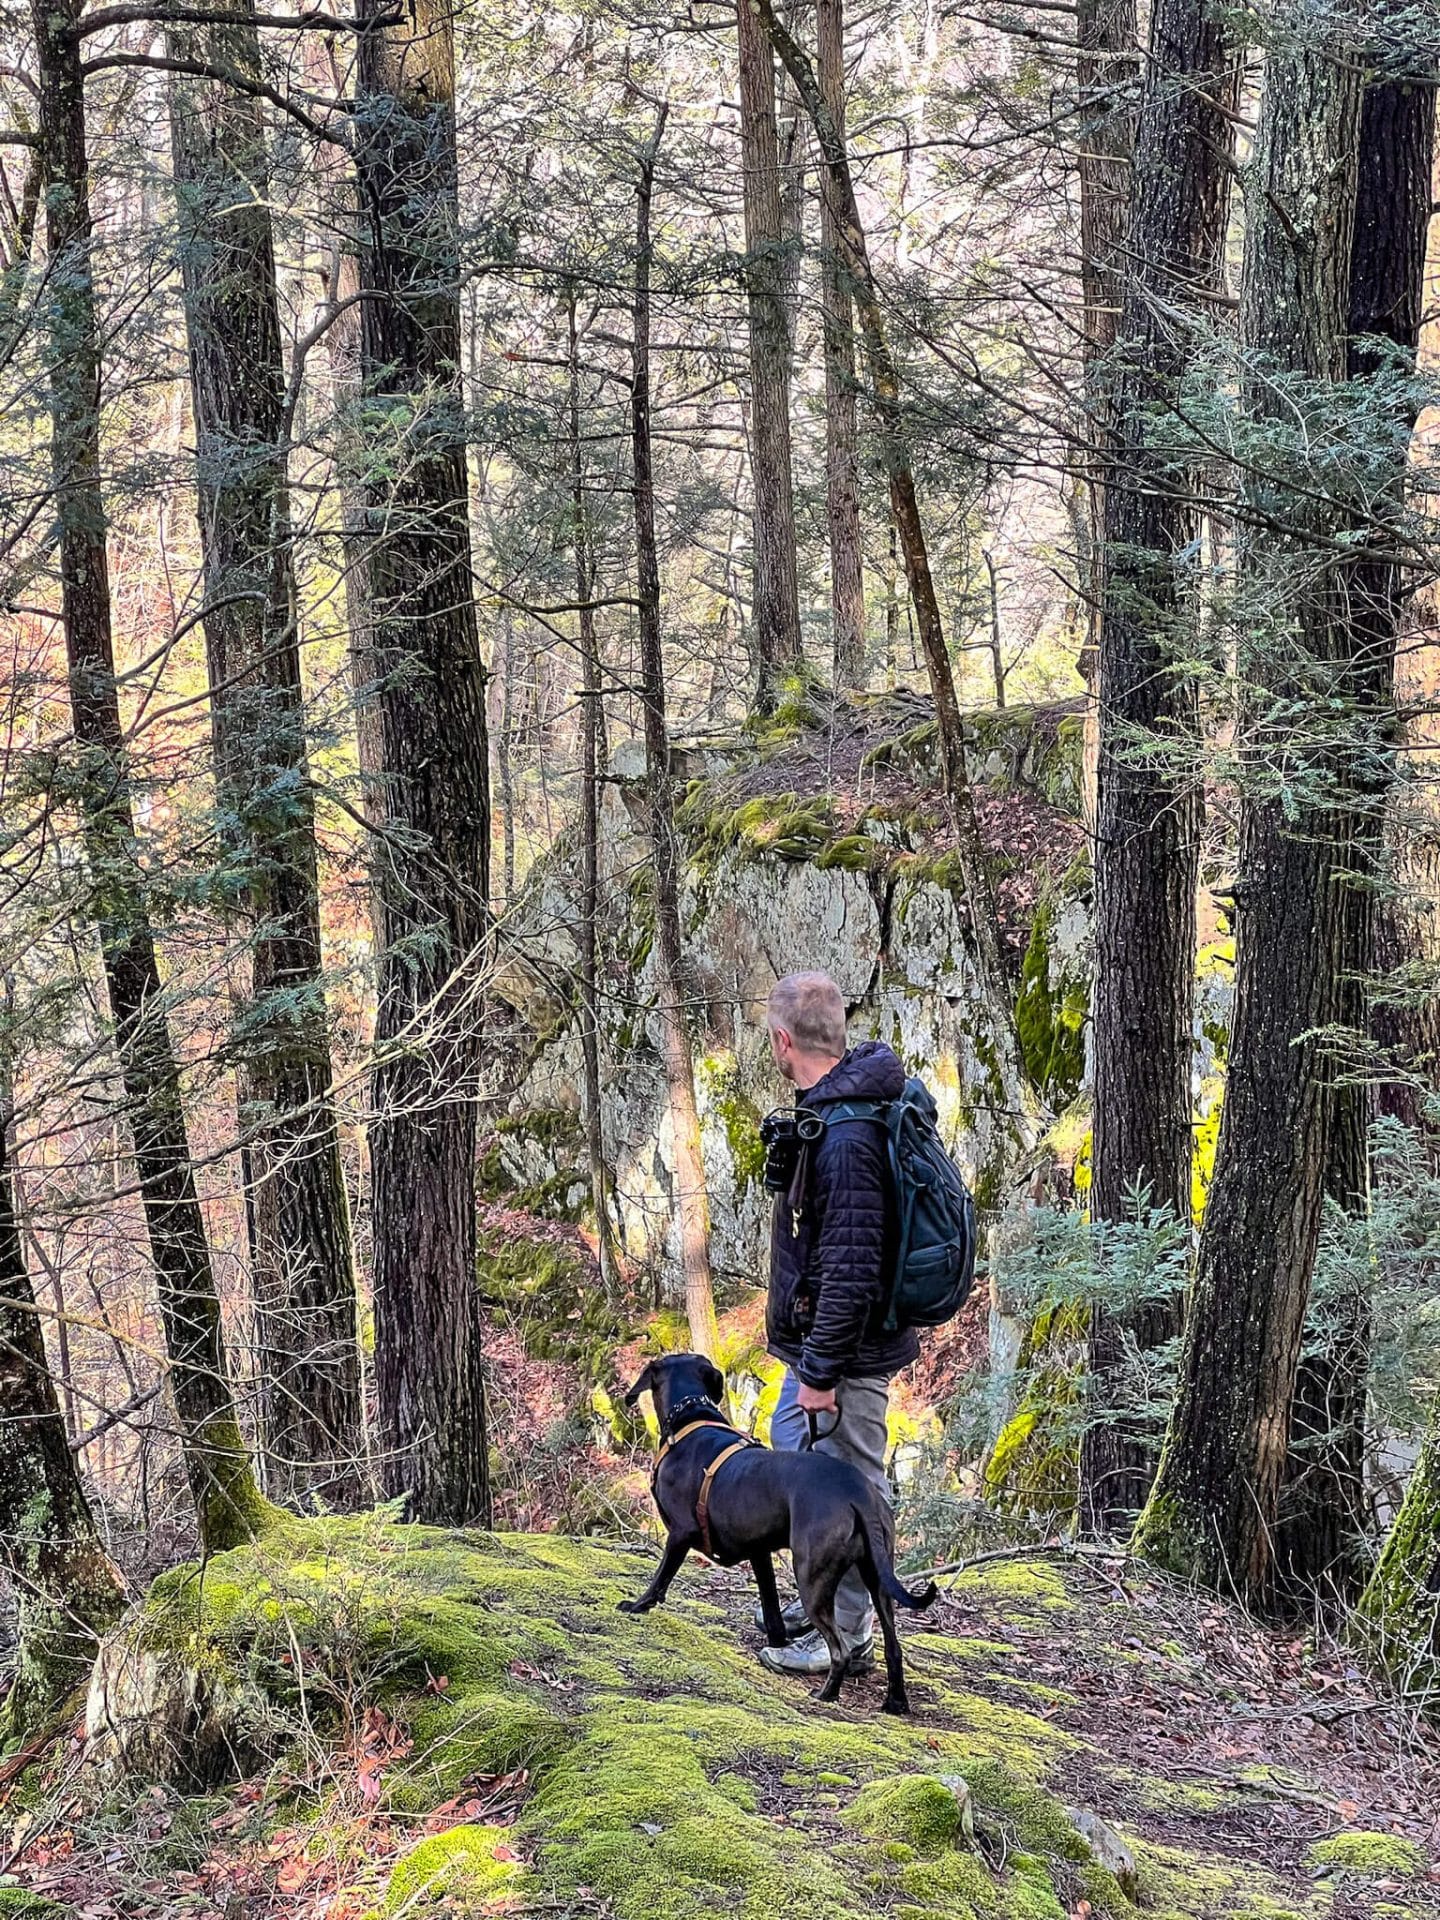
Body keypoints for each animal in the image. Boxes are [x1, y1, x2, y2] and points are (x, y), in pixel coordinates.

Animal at [618, 1351, 936, 1712]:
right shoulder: (759, 1554)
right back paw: (895, 1702)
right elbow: (771, 1609)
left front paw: (637, 1605)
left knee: (840, 1649)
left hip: (811, 1574)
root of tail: (859, 1495)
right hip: (877, 1574)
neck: (691, 1418)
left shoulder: (680, 1533)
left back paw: (826, 1695)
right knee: (893, 1647)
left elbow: (660, 1578)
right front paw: (778, 1641)